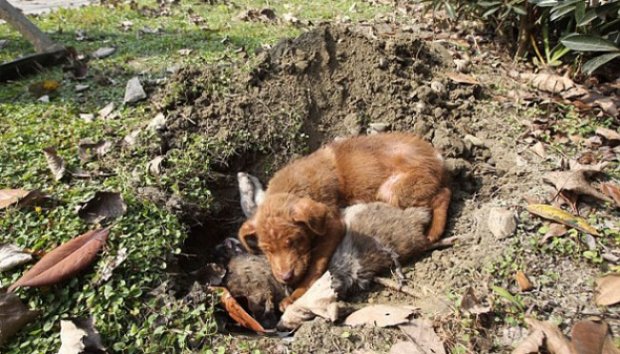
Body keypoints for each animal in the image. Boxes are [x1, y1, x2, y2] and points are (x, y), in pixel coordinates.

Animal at [239, 133, 450, 310]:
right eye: (267, 250)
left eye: (295, 241)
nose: (286, 277)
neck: (294, 186)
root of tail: (437, 156)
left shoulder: (333, 226)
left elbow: (315, 266)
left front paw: (296, 295)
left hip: (394, 191)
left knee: (443, 195)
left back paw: (434, 231)